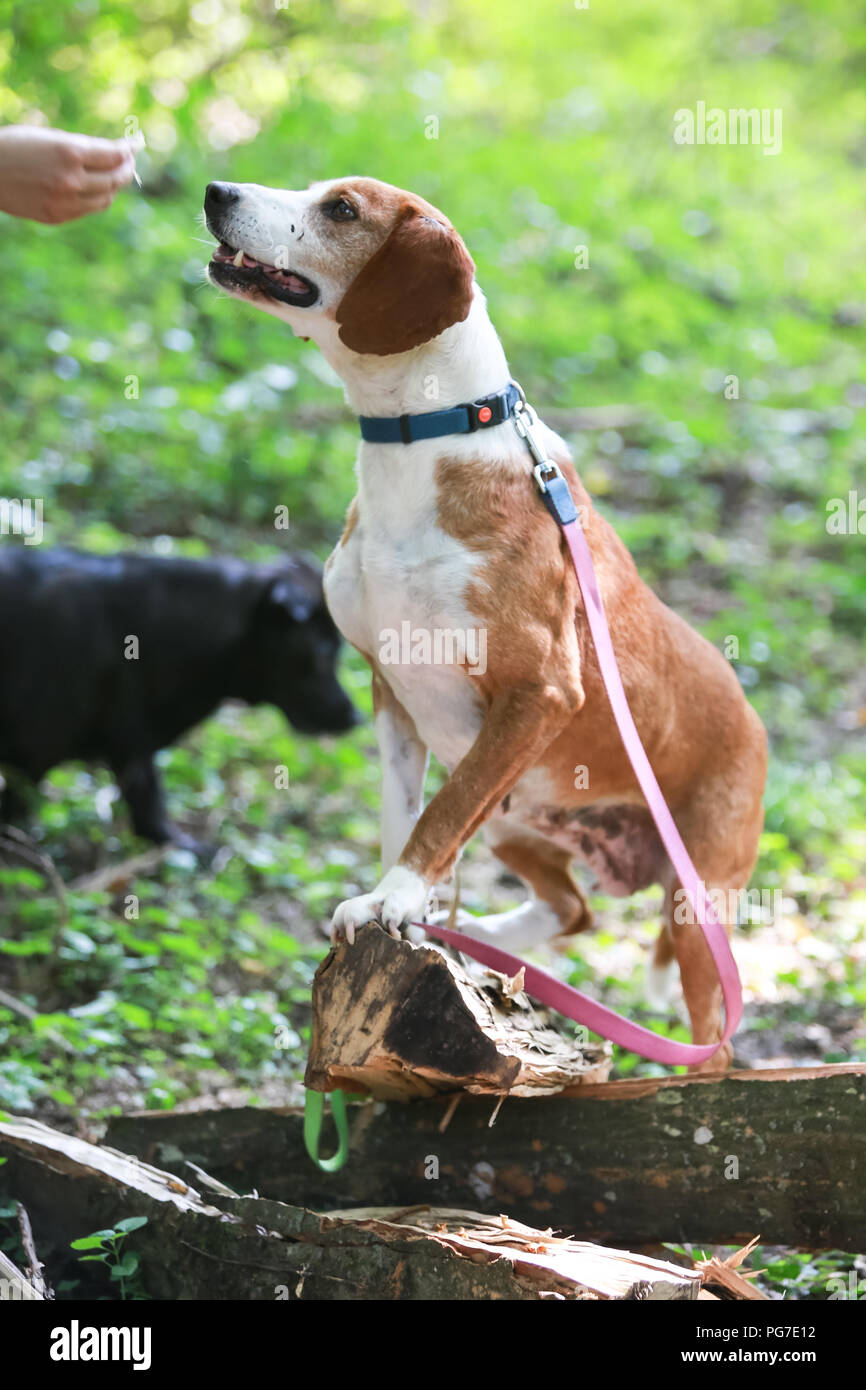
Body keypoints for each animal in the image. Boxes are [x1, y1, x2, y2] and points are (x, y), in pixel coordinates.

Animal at [207, 173, 767, 1061]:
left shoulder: (541, 694)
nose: (216, 189)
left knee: (712, 1043)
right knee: (573, 908)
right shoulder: (394, 696)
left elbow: (436, 819)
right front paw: (401, 910)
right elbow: (406, 815)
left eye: (342, 209)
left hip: (692, 906)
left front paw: (396, 900)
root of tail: (756, 724)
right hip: (511, 808)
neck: (421, 442)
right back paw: (492, 939)